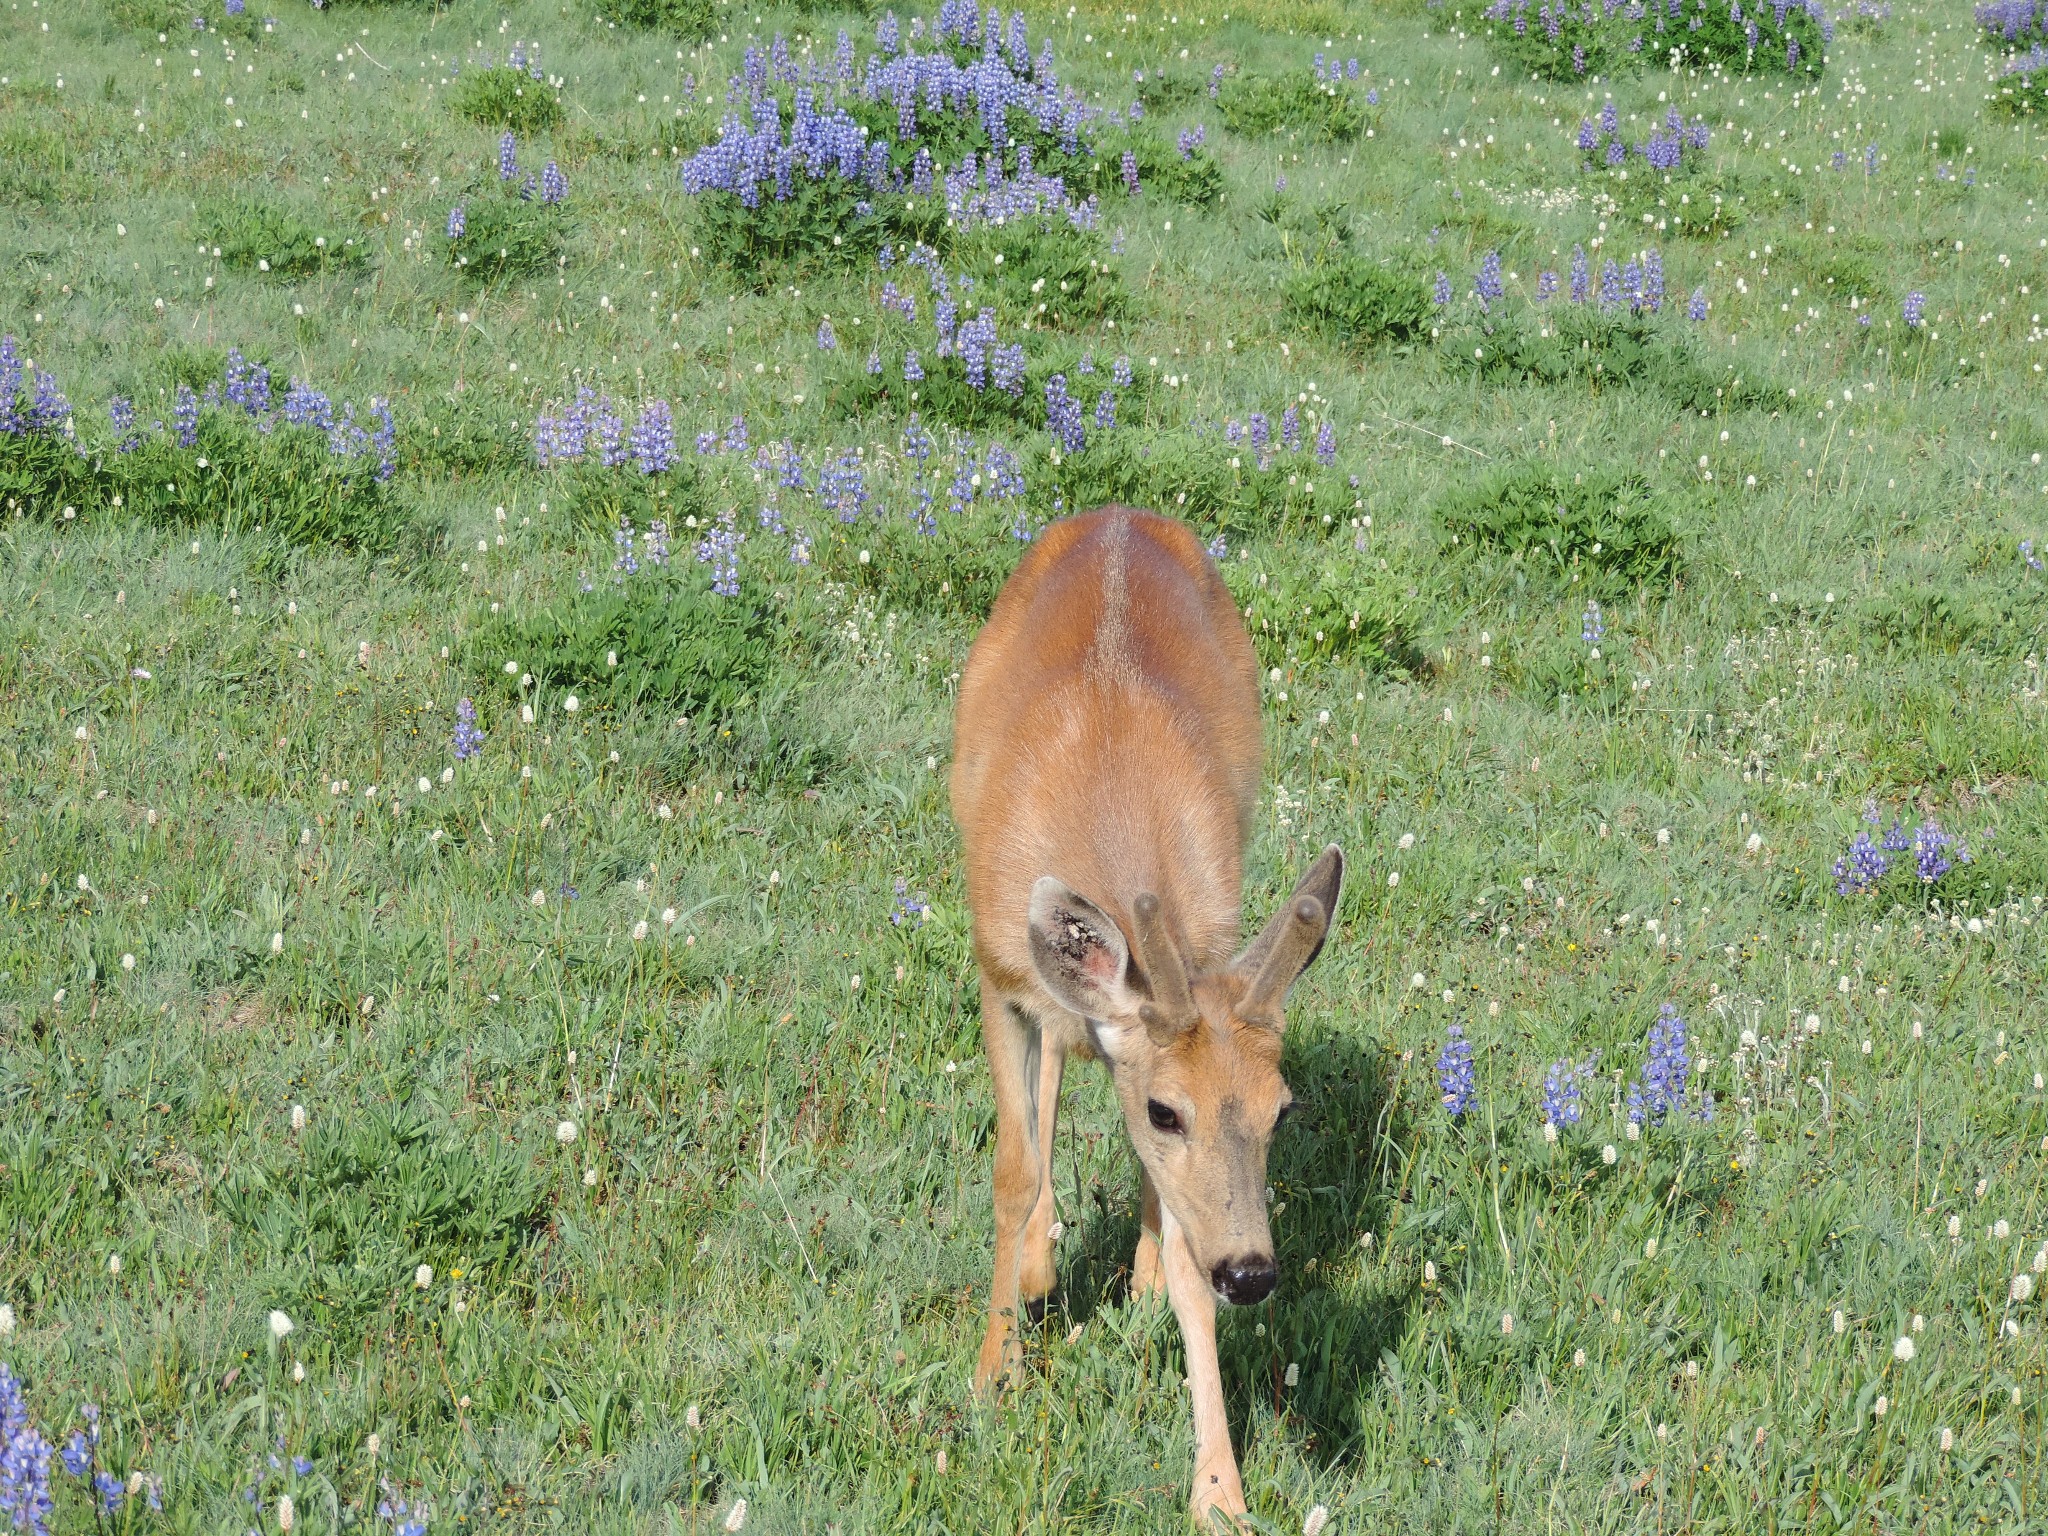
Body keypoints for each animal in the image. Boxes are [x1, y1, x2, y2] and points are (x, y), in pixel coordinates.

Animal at [946, 507, 1343, 1531]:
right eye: (1168, 1110)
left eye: (1284, 1110)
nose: (1255, 1273)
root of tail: (1117, 515)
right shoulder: (997, 976)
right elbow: (1011, 1169)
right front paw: (993, 1374)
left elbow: (1187, 1270)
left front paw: (1220, 1491)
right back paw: (1041, 1263)